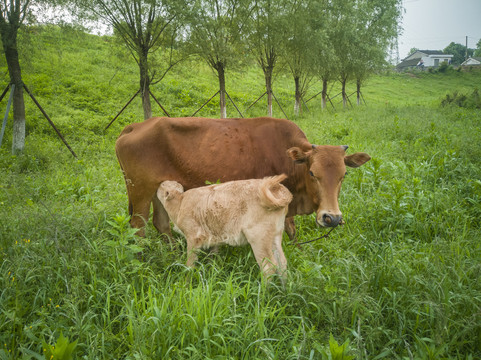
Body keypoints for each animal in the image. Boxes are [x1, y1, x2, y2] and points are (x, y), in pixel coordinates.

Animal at [116, 116, 372, 238]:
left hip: (159, 189)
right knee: (138, 227)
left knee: (161, 224)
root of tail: (135, 125)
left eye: (344, 175)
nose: (332, 218)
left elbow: (291, 231)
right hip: (140, 191)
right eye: (312, 173)